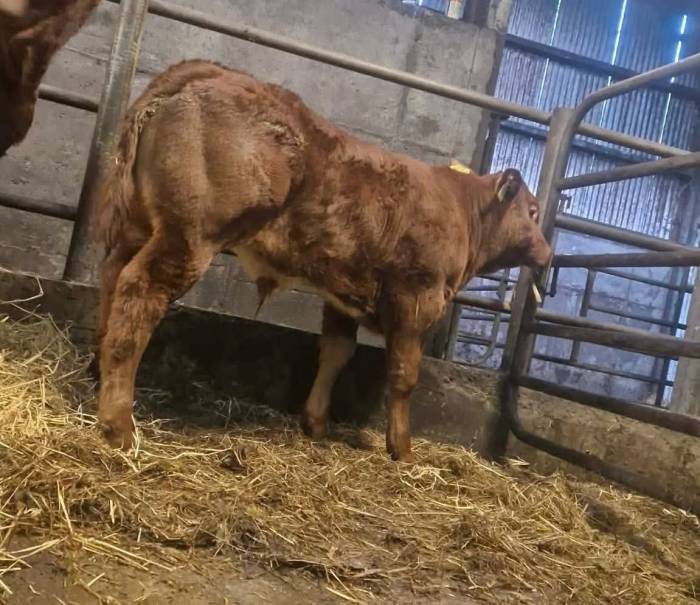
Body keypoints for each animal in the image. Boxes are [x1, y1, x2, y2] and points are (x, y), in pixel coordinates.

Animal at [95, 60, 552, 462]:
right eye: (532, 211)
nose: (548, 253)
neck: (462, 210)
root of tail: (208, 72)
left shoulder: (343, 293)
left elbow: (336, 353)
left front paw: (315, 422)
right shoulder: (417, 295)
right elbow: (404, 376)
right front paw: (401, 449)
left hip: (139, 226)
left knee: (112, 277)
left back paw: (99, 374)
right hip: (191, 236)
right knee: (140, 290)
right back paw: (118, 424)